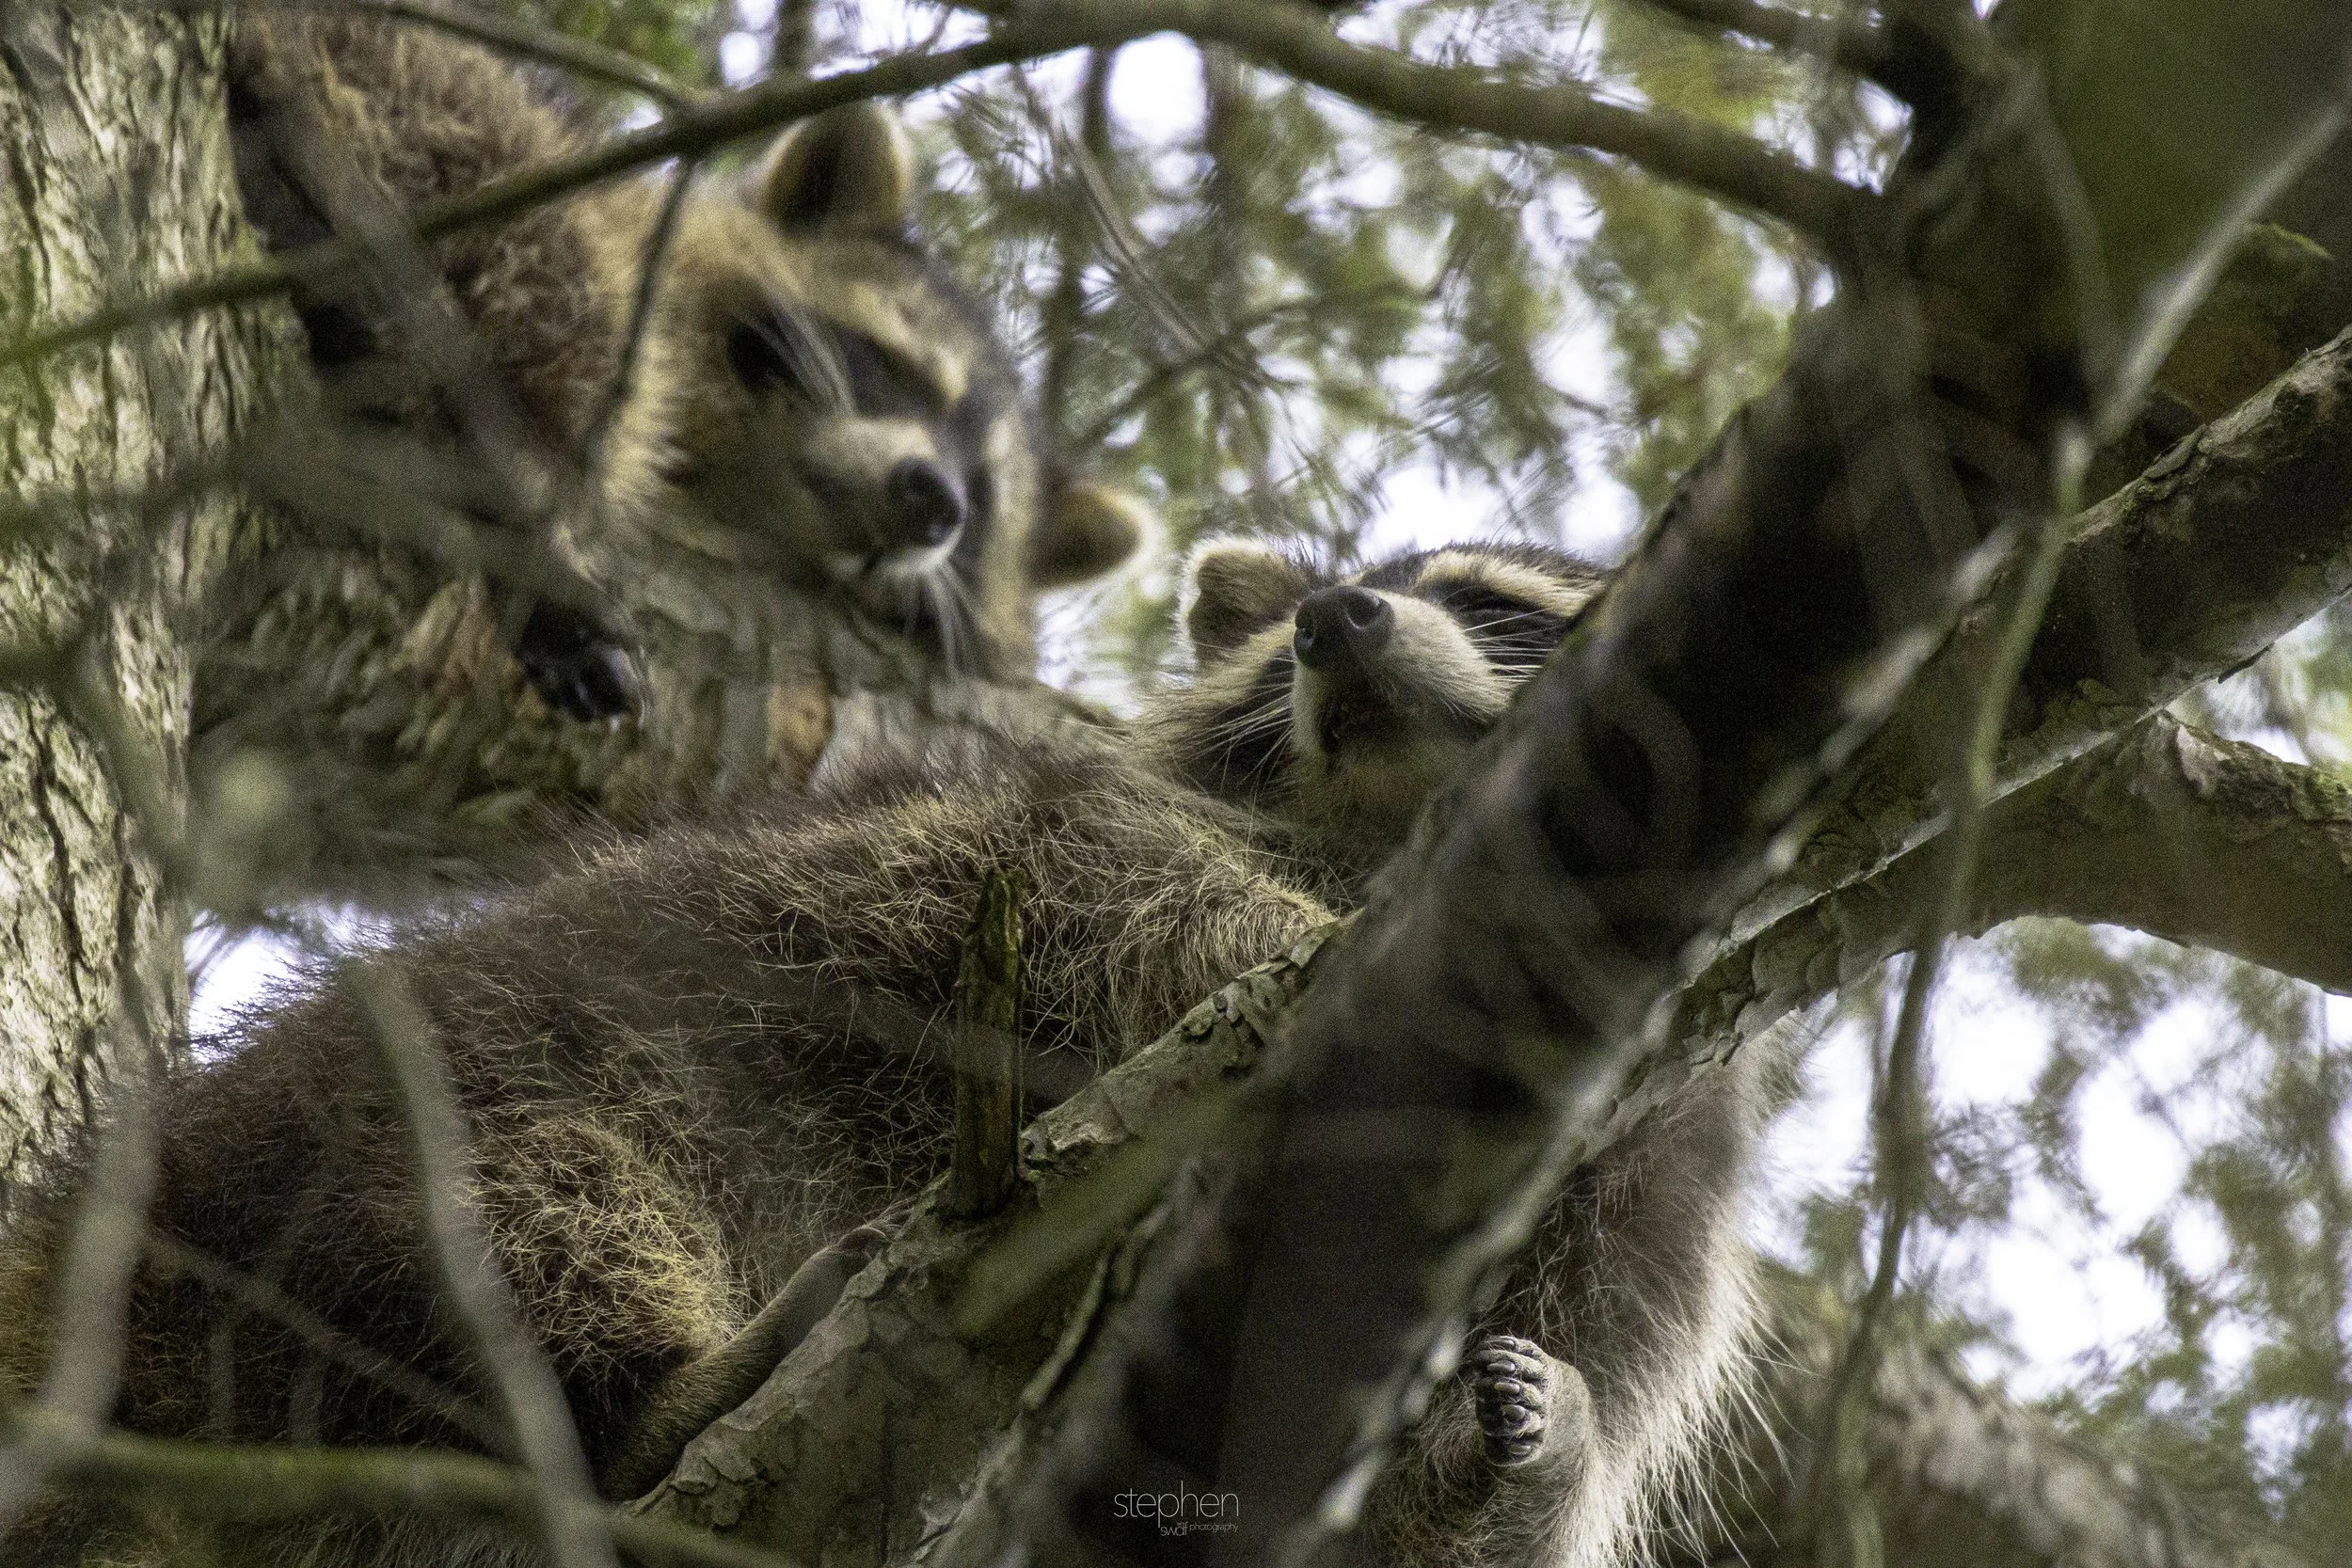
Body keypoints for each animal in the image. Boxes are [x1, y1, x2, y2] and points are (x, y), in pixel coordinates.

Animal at [3, 541, 1754, 1568]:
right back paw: (647, 1393)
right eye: (1299, 638)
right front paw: (1295, 942)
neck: (1378, 827)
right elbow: (1149, 915)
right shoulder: (1056, 848)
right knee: (500, 1208)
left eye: (1496, 601)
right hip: (405, 1102)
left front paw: (1521, 1455)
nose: (1334, 618)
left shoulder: (1634, 1207)